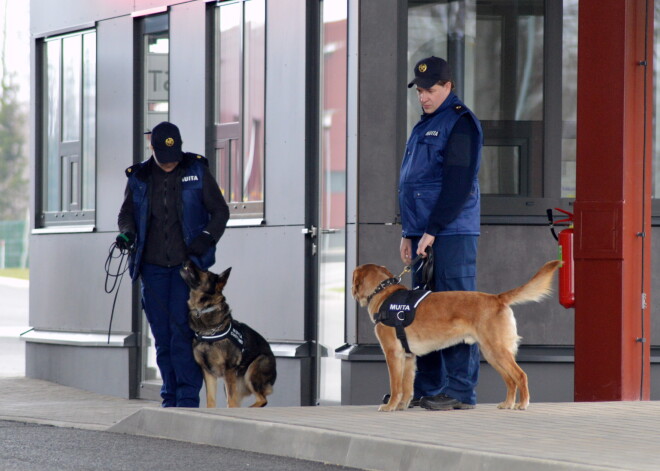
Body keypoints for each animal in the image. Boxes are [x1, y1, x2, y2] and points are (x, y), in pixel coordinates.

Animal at [179, 262, 278, 410]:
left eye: (205, 271)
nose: (187, 260)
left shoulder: (228, 370)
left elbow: (231, 402)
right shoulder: (208, 373)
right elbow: (211, 400)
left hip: (252, 371)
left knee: (262, 399)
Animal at [354, 260, 560, 412]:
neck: (383, 294)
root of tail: (497, 298)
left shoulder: (393, 354)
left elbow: (395, 386)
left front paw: (390, 406)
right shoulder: (409, 357)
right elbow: (406, 387)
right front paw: (402, 406)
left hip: (498, 351)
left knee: (521, 375)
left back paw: (522, 403)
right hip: (492, 354)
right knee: (510, 380)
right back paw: (508, 403)